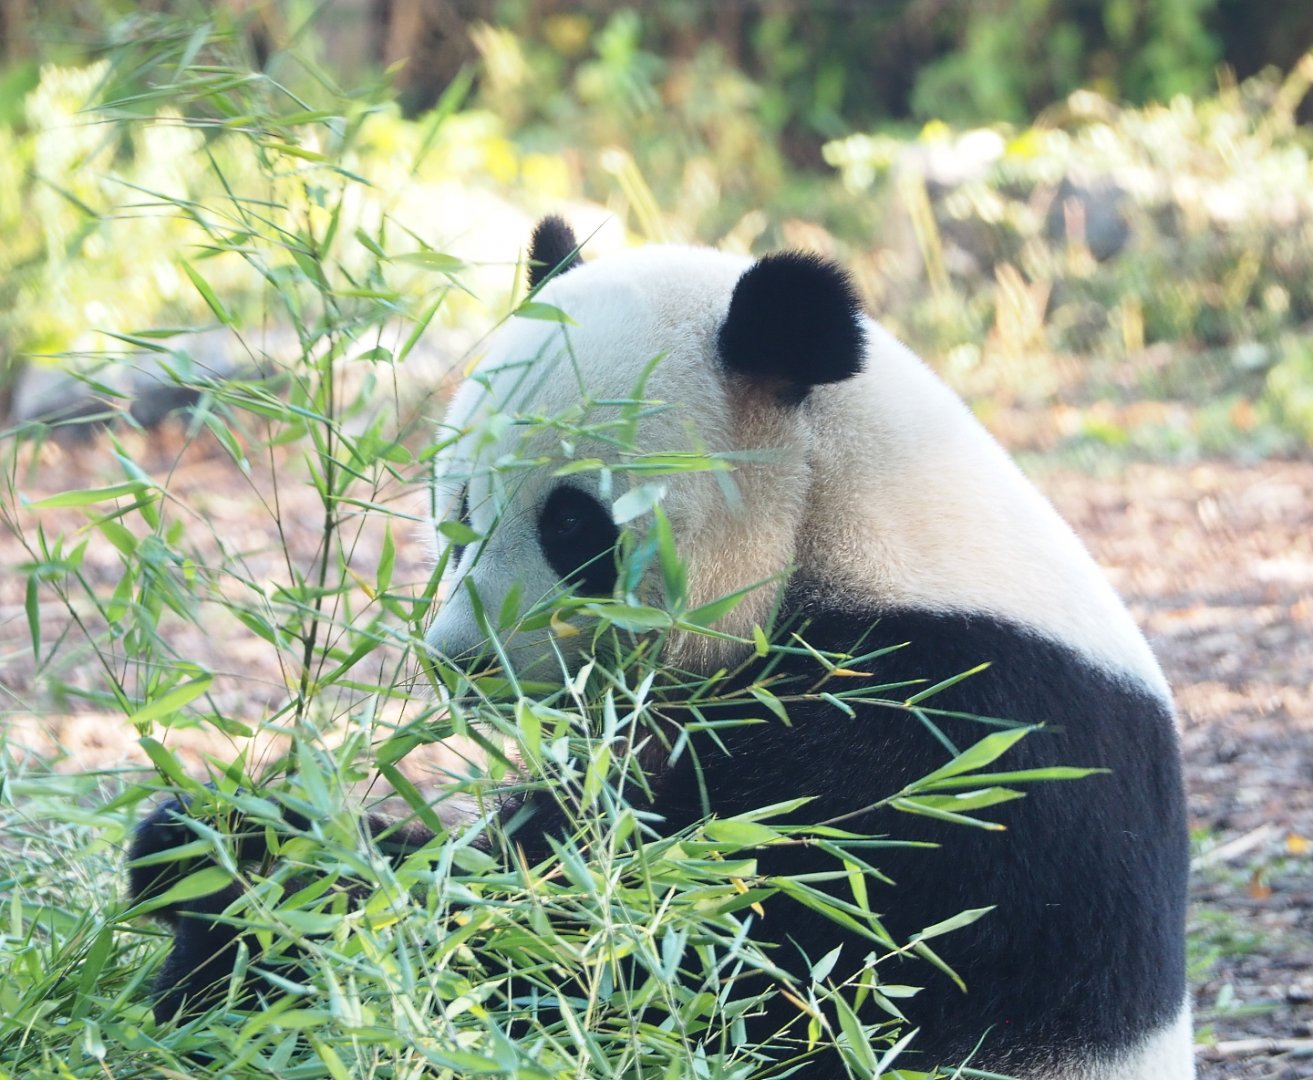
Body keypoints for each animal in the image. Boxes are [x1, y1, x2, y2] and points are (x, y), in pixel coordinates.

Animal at [129, 217, 1192, 1079]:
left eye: (573, 526)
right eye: (454, 505)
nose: (464, 661)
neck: (848, 512)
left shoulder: (951, 744)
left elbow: (653, 943)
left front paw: (254, 889)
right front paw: (212, 840)